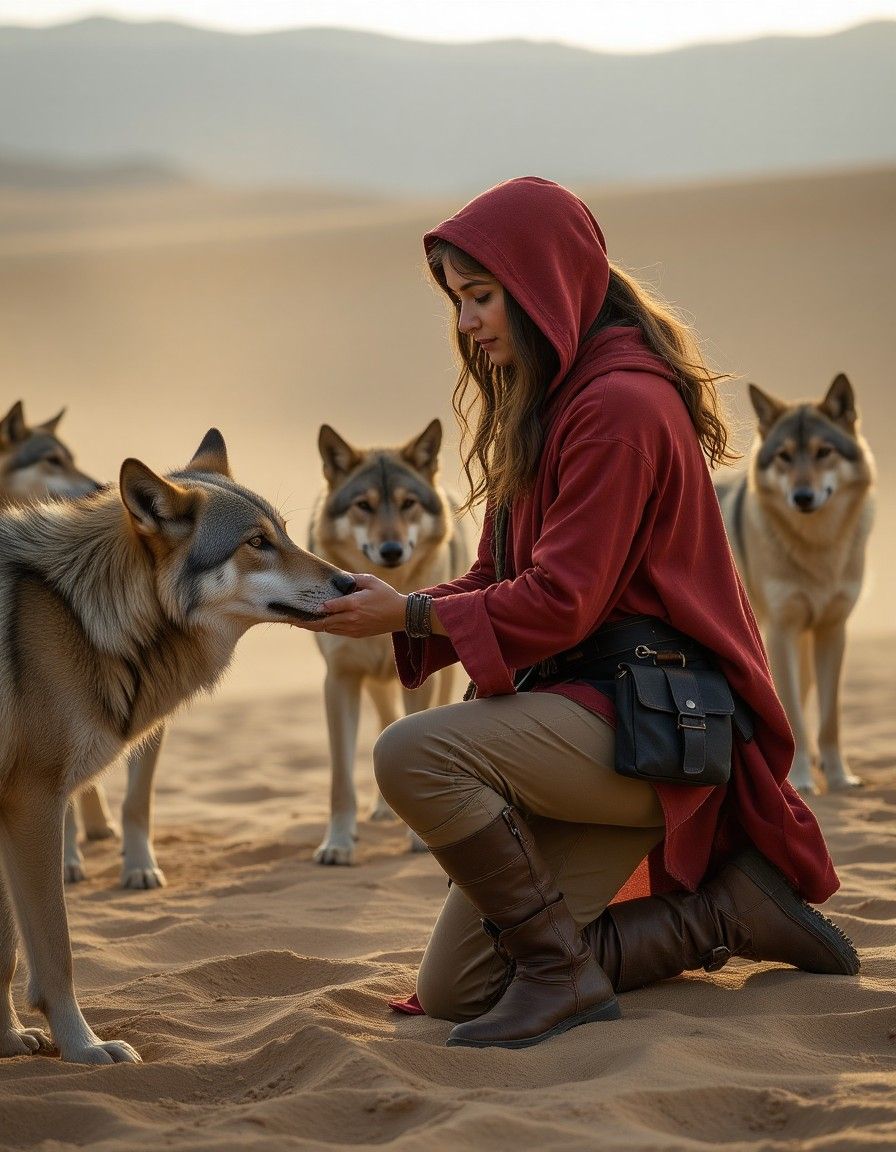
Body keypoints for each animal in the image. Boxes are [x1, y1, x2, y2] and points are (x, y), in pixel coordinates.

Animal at [0, 400, 170, 890]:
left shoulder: (152, 727)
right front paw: (67, 862)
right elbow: (62, 810)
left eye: (70, 457)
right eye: (52, 460)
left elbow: (136, 804)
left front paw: (140, 866)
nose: (97, 486)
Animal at [309, 419, 469, 865]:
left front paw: (419, 836)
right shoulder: (340, 680)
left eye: (407, 503)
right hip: (377, 683)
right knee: (384, 722)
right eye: (363, 505)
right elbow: (341, 779)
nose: (392, 549)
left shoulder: (420, 682)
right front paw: (337, 843)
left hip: (437, 679)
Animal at [716, 374, 875, 794]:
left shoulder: (832, 631)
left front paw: (839, 778)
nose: (803, 497)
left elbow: (829, 720)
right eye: (784, 456)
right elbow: (794, 720)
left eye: (823, 452)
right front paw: (801, 778)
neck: (818, 549)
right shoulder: (780, 631)